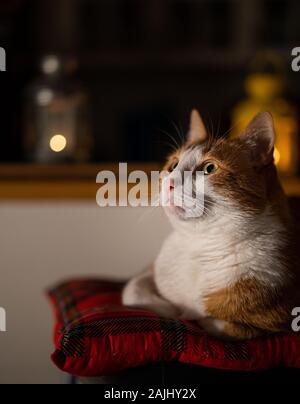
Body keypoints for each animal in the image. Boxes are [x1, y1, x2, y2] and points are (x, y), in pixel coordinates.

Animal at [122, 109, 300, 340]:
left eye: (209, 168)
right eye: (173, 165)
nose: (169, 182)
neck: (199, 245)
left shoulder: (274, 324)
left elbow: (210, 322)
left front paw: (184, 313)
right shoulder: (149, 271)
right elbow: (133, 288)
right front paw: (167, 307)